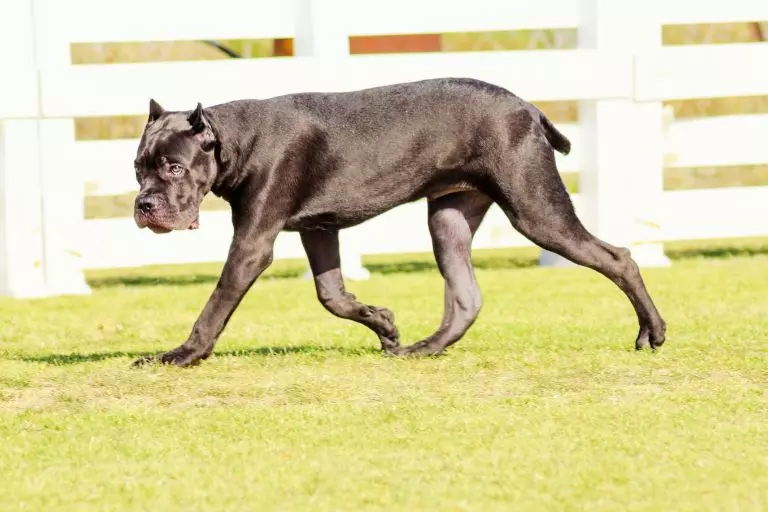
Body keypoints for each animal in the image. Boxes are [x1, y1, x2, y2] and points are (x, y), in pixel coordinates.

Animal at [132, 77, 664, 368]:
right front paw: (383, 324)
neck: (233, 141)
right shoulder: (318, 229)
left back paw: (652, 333)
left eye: (174, 168)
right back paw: (424, 349)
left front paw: (182, 354)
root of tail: (530, 109)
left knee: (619, 257)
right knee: (466, 298)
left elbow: (216, 304)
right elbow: (331, 295)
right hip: (449, 218)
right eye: (138, 168)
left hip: (534, 209)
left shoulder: (252, 243)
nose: (144, 205)